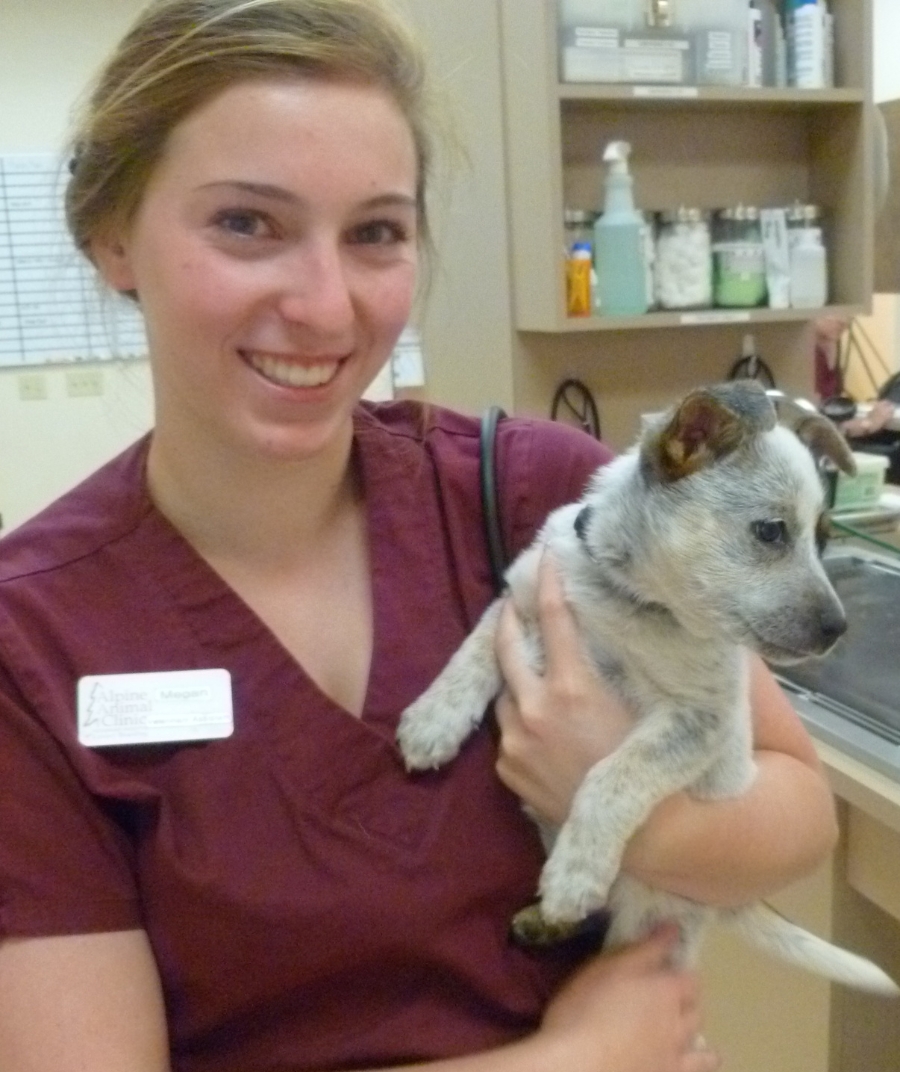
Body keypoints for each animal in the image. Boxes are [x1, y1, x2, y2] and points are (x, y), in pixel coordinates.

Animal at [400, 379, 900, 994]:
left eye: (825, 539)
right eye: (771, 532)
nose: (839, 628)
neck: (629, 598)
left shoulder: (698, 721)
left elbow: (613, 775)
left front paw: (576, 869)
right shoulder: (515, 603)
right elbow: (472, 652)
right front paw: (431, 721)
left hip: (648, 924)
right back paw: (542, 922)